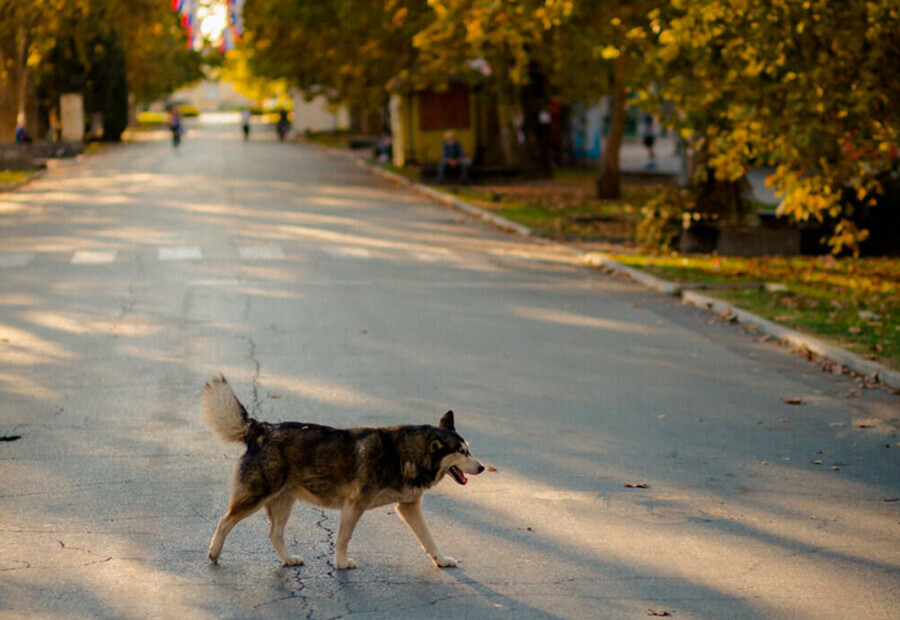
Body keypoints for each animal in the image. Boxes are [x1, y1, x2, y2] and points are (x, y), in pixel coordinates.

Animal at [202, 376, 486, 568]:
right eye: (462, 452)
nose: (482, 467)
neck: (406, 454)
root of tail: (261, 428)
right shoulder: (354, 506)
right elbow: (343, 539)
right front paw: (341, 562)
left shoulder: (409, 507)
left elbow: (428, 539)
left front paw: (441, 560)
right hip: (256, 496)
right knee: (224, 521)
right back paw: (214, 553)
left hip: (284, 501)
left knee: (274, 533)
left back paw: (289, 559)